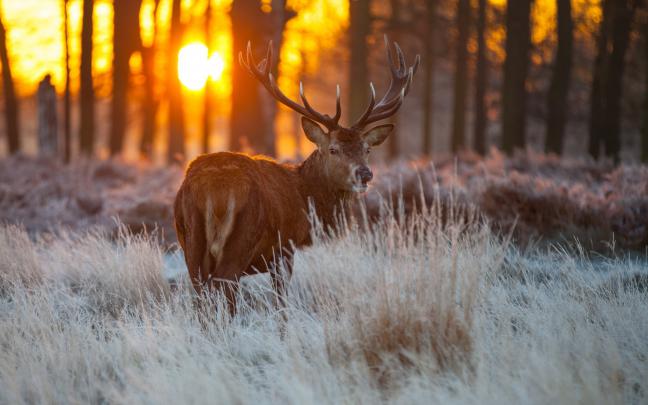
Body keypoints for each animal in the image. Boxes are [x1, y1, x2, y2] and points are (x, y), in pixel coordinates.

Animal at [174, 36, 419, 314]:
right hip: (242, 238)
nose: (365, 174)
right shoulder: (285, 248)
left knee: (200, 294)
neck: (305, 197)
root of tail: (213, 189)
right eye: (333, 149)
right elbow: (281, 301)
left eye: (366, 149)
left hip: (190, 239)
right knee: (224, 288)